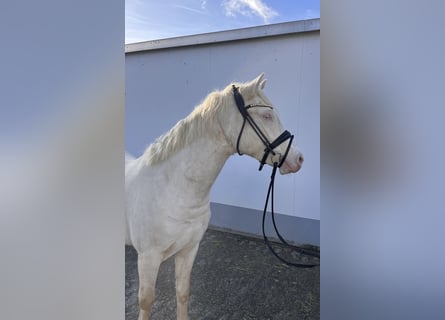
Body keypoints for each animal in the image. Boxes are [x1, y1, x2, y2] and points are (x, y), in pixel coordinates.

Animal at [126, 74, 304, 318]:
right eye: (266, 115)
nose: (298, 159)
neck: (171, 189)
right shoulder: (148, 258)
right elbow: (146, 302)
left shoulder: (189, 249)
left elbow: (182, 293)